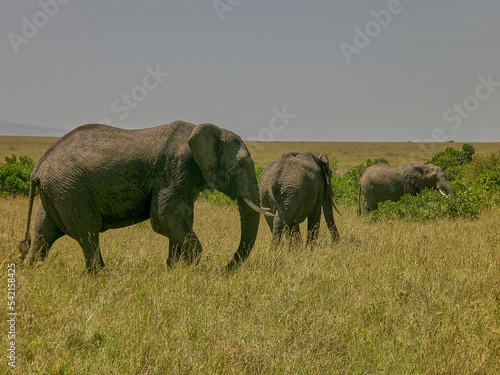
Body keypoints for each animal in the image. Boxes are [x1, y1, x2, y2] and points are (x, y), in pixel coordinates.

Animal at [20, 122, 274, 272]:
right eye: (241, 164)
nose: (223, 269)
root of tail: (38, 166)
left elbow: (177, 220)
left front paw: (174, 269)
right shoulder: (176, 168)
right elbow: (164, 218)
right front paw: (189, 268)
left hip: (58, 191)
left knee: (44, 232)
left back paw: (33, 271)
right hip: (71, 191)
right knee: (88, 233)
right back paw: (101, 276)